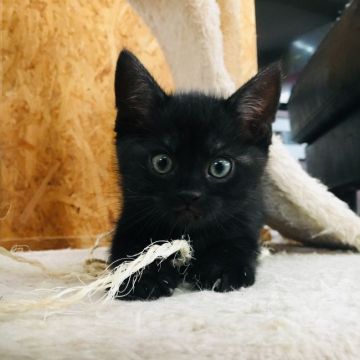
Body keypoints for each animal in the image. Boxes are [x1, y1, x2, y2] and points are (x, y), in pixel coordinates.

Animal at [110, 49, 282, 300]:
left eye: (220, 167)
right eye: (162, 162)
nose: (188, 194)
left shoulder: (246, 220)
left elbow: (237, 244)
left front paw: (222, 269)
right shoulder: (130, 219)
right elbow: (130, 251)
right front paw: (143, 277)